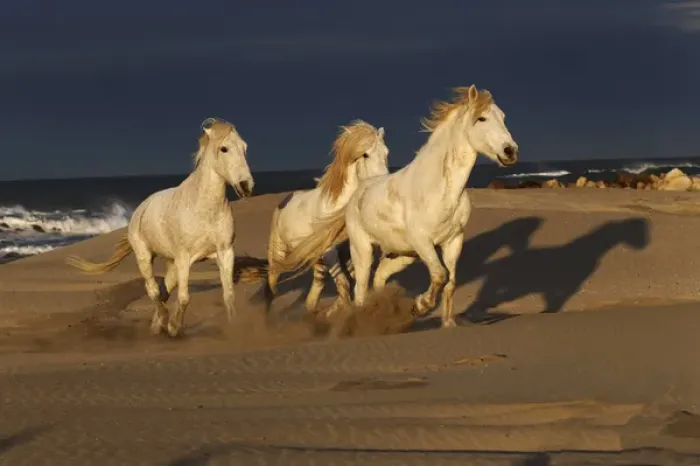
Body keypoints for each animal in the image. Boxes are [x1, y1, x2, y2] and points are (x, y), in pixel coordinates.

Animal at [66, 117, 255, 338]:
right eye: (224, 149)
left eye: (245, 148)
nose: (246, 186)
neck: (205, 208)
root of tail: (141, 208)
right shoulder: (184, 258)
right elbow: (184, 298)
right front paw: (174, 328)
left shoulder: (225, 253)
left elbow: (228, 296)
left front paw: (233, 329)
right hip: (145, 256)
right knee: (154, 290)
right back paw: (163, 323)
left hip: (171, 263)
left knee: (164, 290)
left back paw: (158, 324)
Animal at [264, 120, 389, 317]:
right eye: (365, 155)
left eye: (386, 153)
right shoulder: (331, 253)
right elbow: (344, 284)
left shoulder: (348, 252)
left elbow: (353, 282)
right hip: (279, 252)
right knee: (272, 282)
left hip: (316, 259)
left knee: (316, 286)